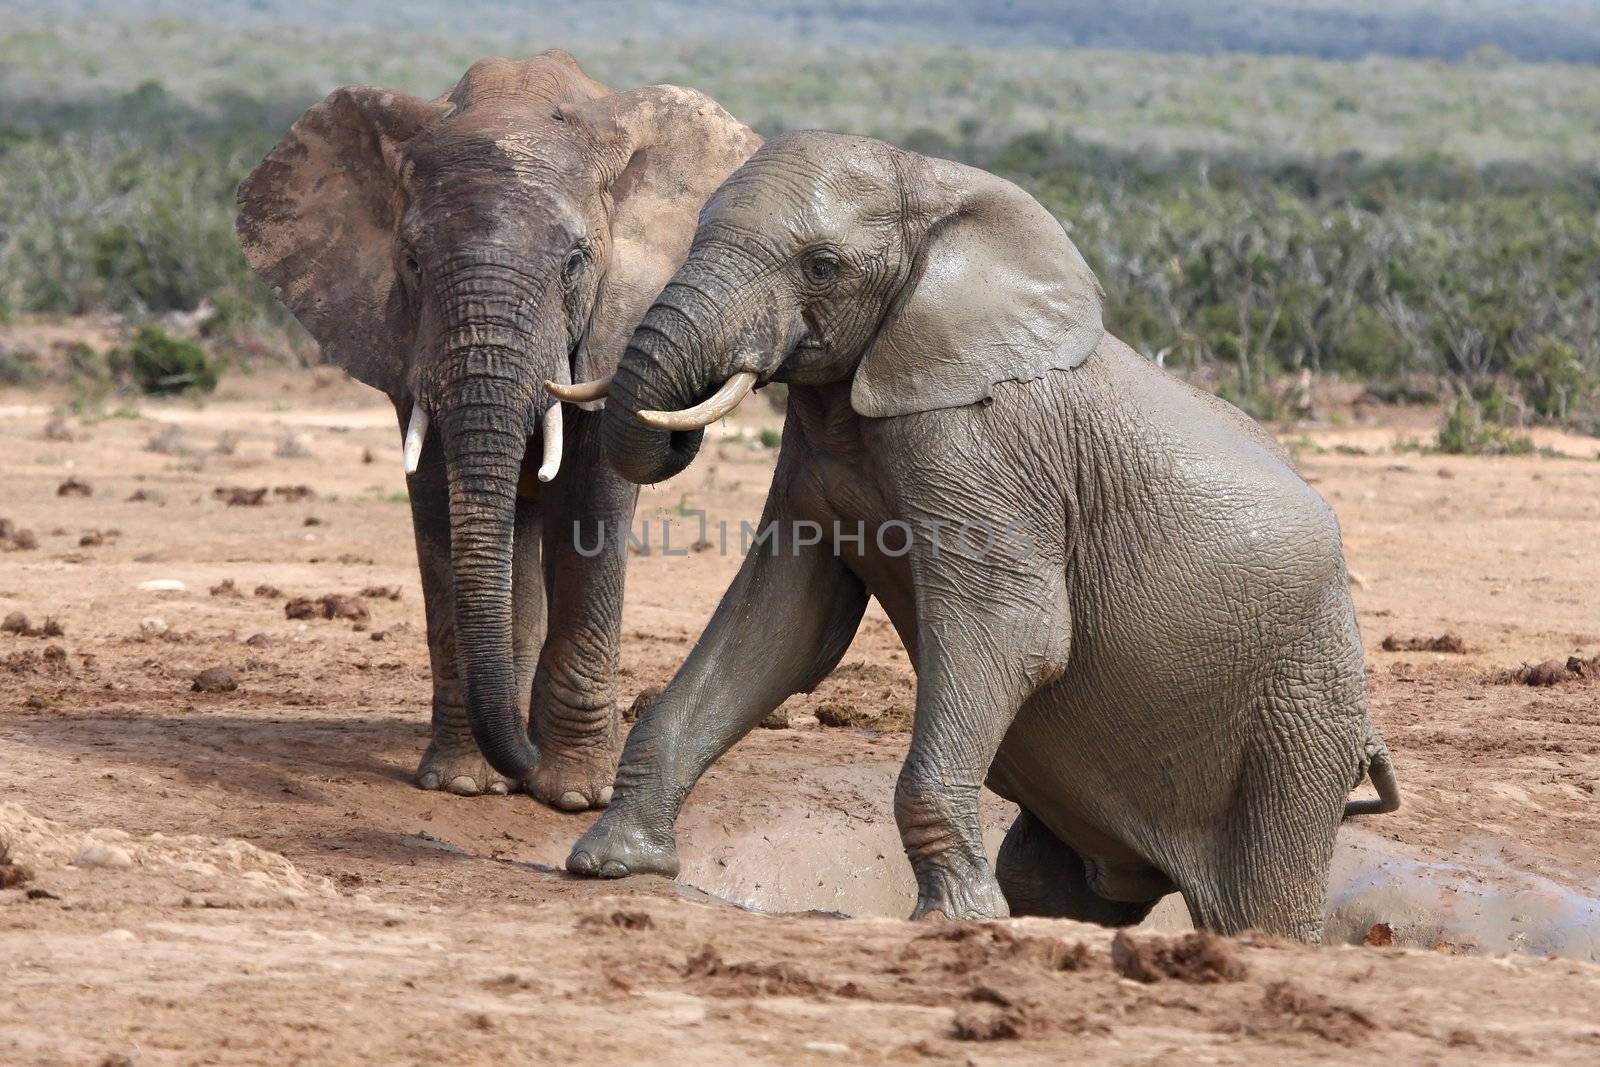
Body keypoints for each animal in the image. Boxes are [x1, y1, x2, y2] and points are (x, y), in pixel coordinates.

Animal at [233, 54, 758, 809]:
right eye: (412, 262)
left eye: (575, 262)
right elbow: (436, 504)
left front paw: (573, 795)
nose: (525, 765)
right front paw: (464, 783)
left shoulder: (613, 321)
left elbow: (592, 504)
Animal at [566, 129, 1401, 940]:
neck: (930, 190)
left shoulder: (984, 450)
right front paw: (611, 863)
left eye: (823, 266)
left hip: (1300, 708)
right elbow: (780, 625)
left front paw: (958, 917)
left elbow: (1013, 630)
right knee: (1056, 876)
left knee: (1263, 895)